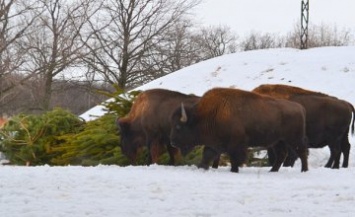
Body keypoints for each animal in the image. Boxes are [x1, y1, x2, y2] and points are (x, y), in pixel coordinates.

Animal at [170, 87, 308, 172]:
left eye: (178, 126)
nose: (172, 142)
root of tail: (299, 107)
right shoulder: (215, 144)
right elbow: (207, 155)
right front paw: (202, 167)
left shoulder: (236, 144)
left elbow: (235, 159)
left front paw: (234, 170)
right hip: (278, 141)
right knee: (282, 154)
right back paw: (272, 171)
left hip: (294, 139)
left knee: (302, 152)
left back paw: (304, 170)